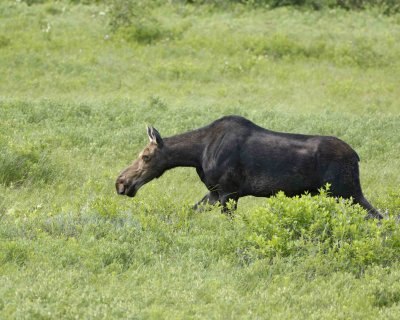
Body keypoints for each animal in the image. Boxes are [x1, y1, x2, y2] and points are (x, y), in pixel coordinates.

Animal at [116, 115, 384, 220]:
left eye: (146, 156)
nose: (121, 182)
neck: (196, 155)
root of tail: (357, 157)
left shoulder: (229, 192)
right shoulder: (214, 193)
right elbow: (187, 212)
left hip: (346, 191)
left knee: (379, 216)